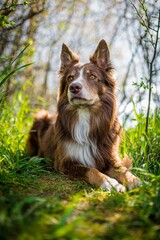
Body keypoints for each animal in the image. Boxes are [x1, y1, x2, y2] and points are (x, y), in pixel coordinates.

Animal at [26, 40, 141, 192]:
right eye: (70, 78)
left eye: (92, 76)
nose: (74, 87)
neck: (85, 113)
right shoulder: (65, 162)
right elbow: (91, 170)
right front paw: (111, 183)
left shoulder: (109, 157)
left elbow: (123, 170)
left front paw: (135, 180)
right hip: (40, 116)